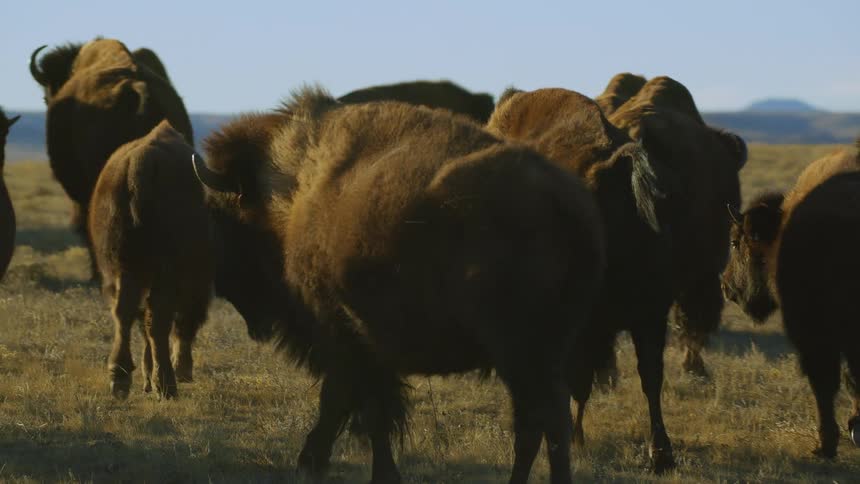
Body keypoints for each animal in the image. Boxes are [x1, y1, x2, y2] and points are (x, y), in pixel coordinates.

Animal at [90, 121, 212, 400]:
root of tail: (141, 162)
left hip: (121, 268)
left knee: (124, 314)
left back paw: (120, 378)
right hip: (164, 273)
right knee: (157, 319)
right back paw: (167, 384)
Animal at [195, 87, 606, 483]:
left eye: (224, 212)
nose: (222, 281)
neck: (295, 189)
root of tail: (567, 205)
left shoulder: (344, 335)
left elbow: (353, 403)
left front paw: (324, 464)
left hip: (519, 351)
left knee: (540, 420)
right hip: (543, 352)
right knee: (542, 421)